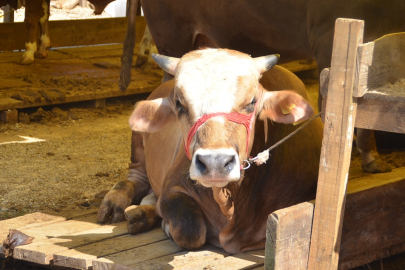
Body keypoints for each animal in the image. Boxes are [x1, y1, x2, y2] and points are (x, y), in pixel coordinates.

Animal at [98, 48, 322, 253]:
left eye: (252, 102)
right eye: (179, 103)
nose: (215, 163)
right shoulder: (172, 186)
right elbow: (190, 230)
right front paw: (167, 226)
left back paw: (140, 213)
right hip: (138, 145)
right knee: (135, 178)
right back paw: (116, 203)